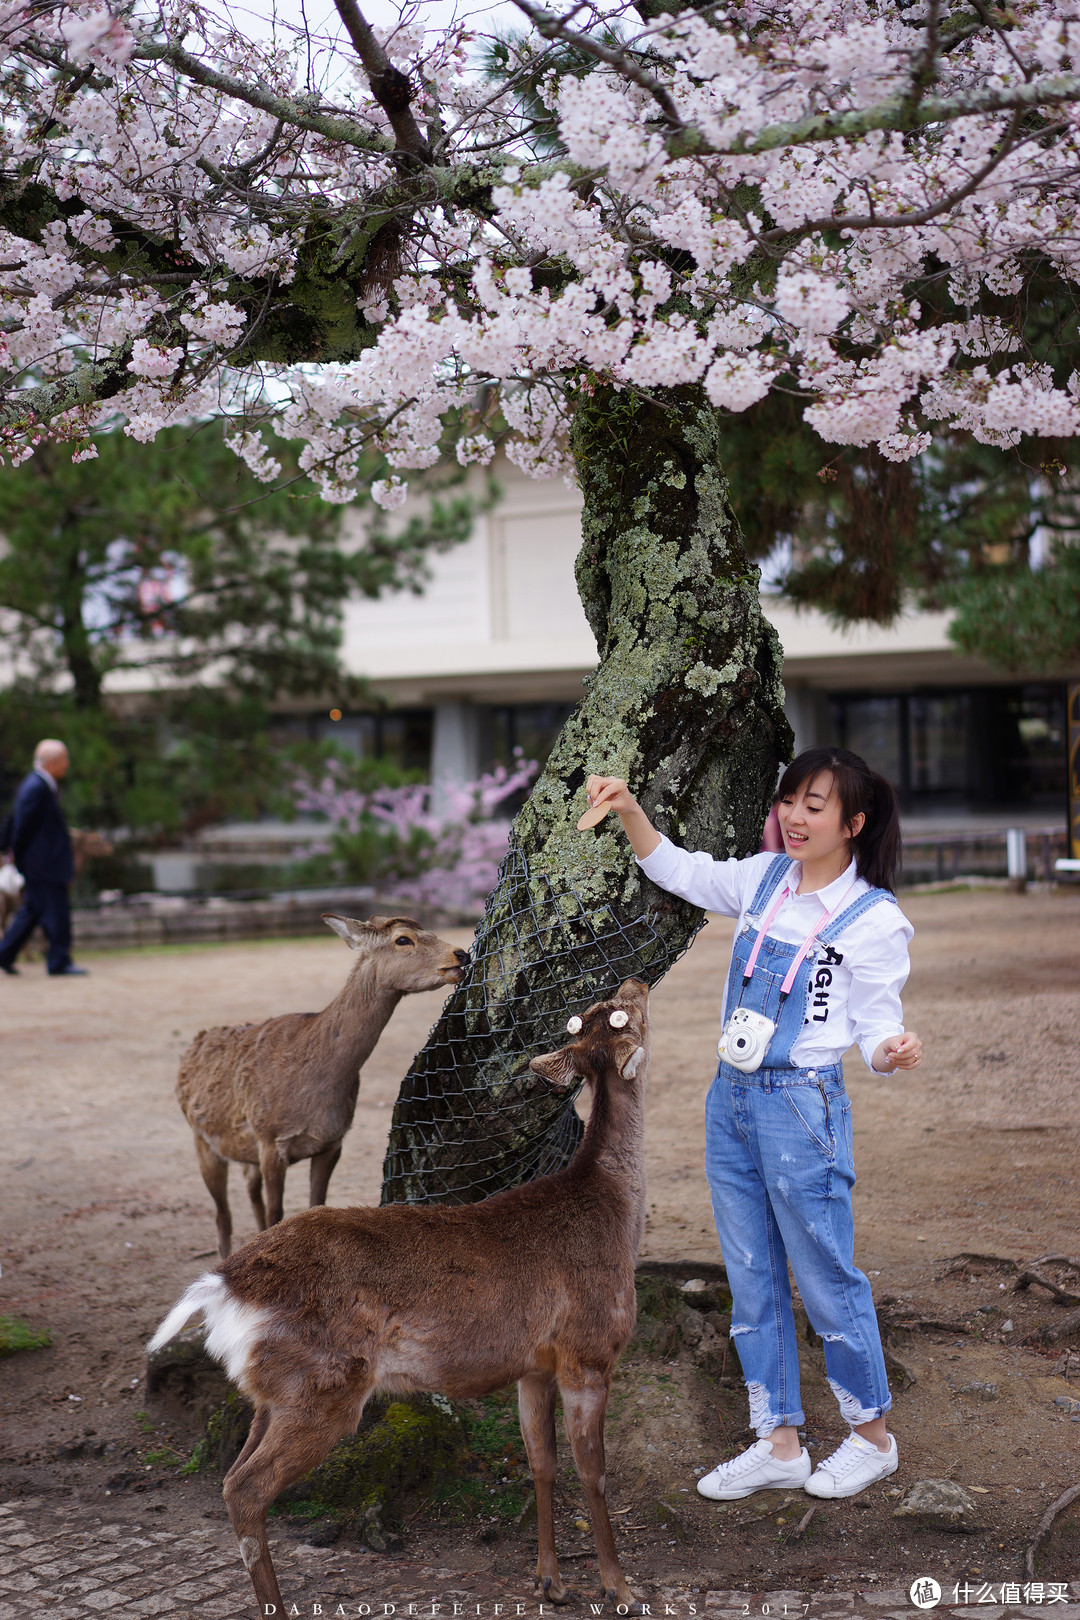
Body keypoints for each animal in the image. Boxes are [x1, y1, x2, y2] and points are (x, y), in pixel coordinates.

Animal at [149, 972, 650, 1620]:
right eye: (617, 1014)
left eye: (593, 1013)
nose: (636, 977)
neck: (615, 1213)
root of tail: (223, 1285)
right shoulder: (589, 1350)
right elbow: (595, 1472)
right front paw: (620, 1589)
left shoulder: (533, 1365)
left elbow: (542, 1464)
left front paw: (550, 1583)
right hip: (324, 1386)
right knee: (245, 1487)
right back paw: (276, 1605)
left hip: (275, 1389)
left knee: (234, 1471)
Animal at [174, 913, 469, 1250]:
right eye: (403, 939)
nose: (461, 954)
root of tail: (192, 1046)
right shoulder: (270, 1139)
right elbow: (277, 1213)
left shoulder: (332, 1142)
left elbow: (316, 1204)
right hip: (202, 1140)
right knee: (222, 1215)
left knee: (249, 1190)